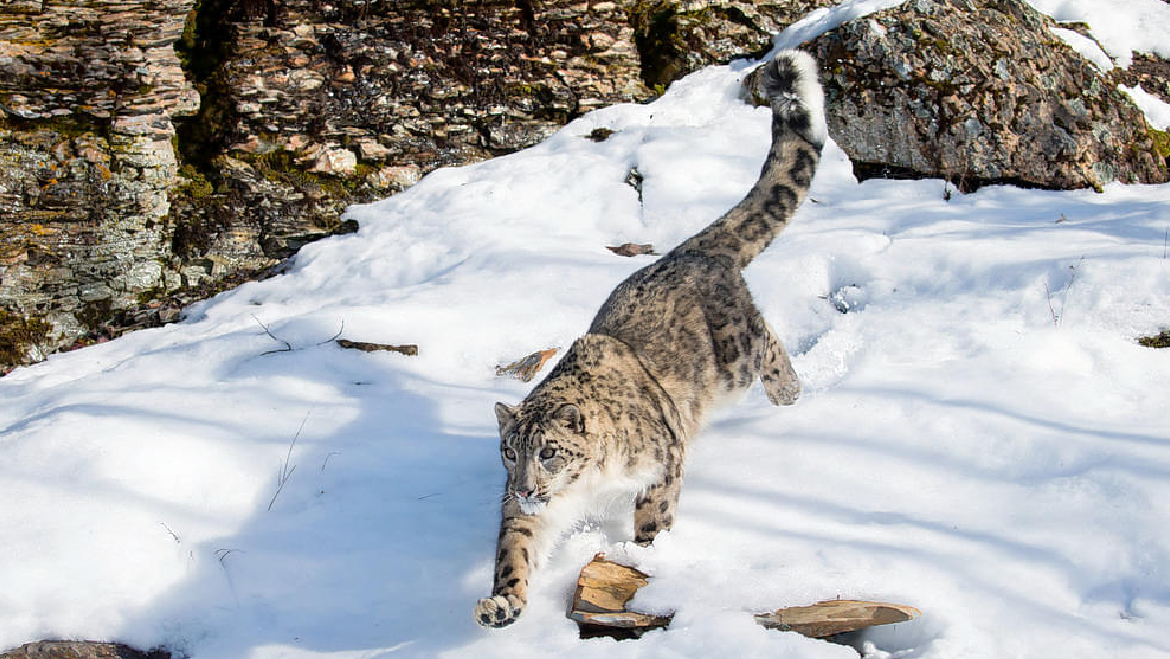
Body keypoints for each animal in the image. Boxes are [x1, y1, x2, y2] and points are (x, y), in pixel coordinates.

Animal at [472, 51, 823, 627]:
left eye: (549, 451)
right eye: (508, 451)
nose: (525, 487)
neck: (588, 486)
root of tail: (686, 251)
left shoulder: (665, 459)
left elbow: (654, 514)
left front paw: (644, 556)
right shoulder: (527, 513)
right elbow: (515, 550)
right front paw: (502, 603)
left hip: (735, 358)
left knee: (766, 337)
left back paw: (789, 392)